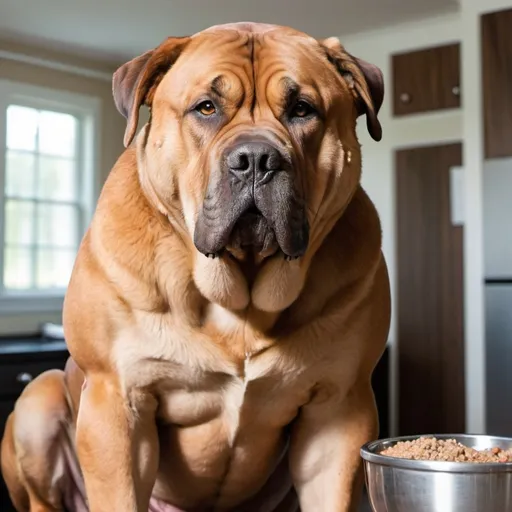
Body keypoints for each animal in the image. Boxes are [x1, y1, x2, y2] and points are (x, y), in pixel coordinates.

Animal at [2, 21, 390, 512]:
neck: (239, 290)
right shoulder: (117, 404)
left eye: (302, 109)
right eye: (206, 108)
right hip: (39, 398)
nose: (256, 159)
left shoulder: (338, 411)